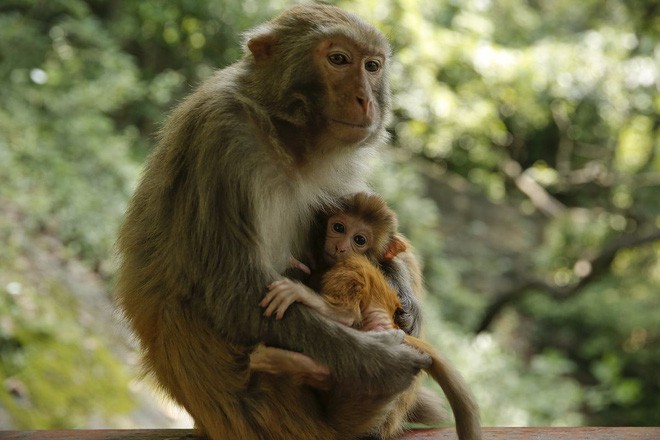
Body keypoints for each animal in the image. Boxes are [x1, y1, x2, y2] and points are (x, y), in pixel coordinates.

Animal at [116, 3, 430, 440]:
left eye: (372, 66)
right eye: (338, 59)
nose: (364, 98)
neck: (286, 138)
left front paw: (400, 282)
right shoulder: (222, 140)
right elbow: (236, 293)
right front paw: (380, 361)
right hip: (262, 407)